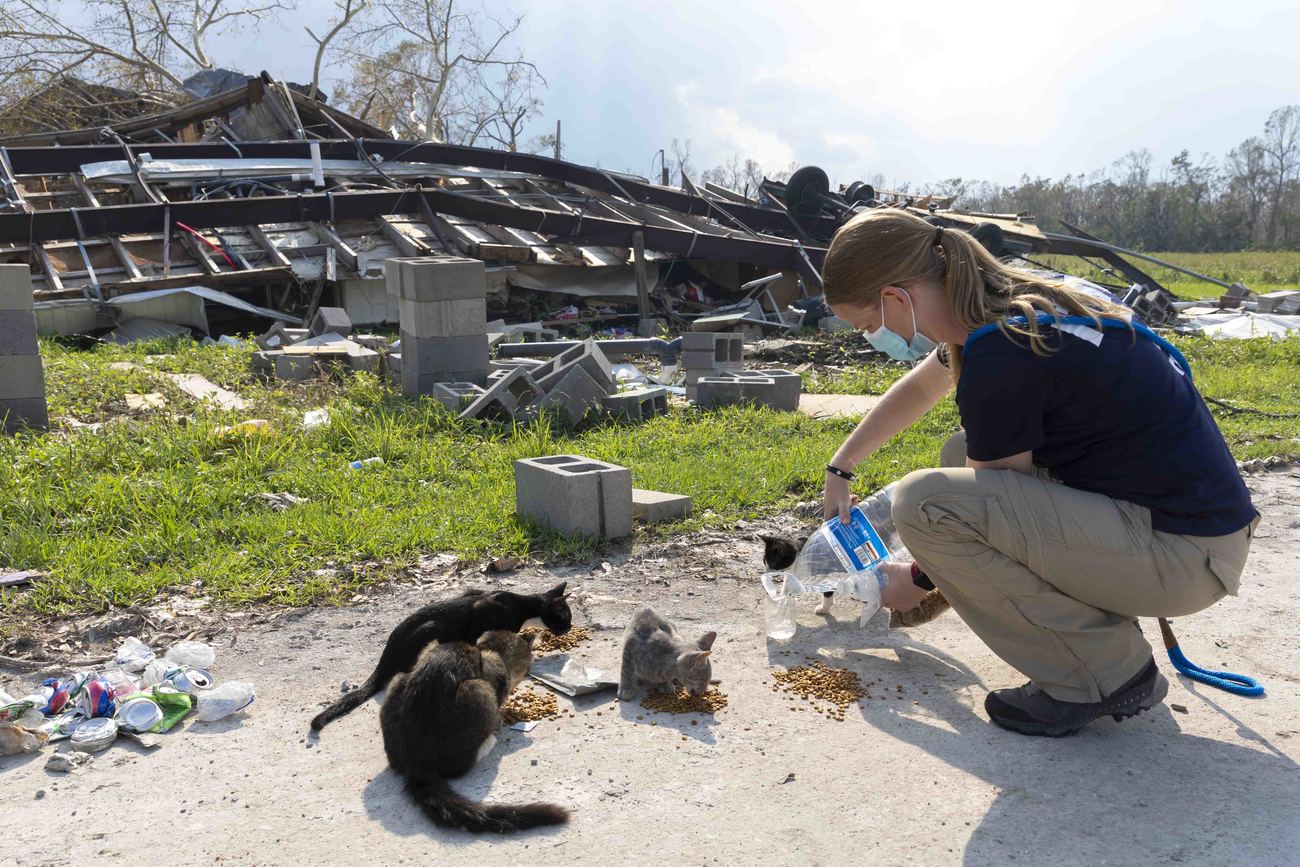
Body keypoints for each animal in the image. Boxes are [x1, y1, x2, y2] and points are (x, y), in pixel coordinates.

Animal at [309, 582, 569, 733]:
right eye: (565, 618)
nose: (568, 628)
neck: (525, 607)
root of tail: (386, 655)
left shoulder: (472, 593)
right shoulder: (484, 610)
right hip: (433, 628)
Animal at [382, 631, 572, 831]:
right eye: (527, 667)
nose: (528, 672)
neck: (483, 648)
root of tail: (416, 765)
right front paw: (500, 718)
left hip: (398, 679)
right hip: (477, 689)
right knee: (459, 768)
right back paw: (488, 743)